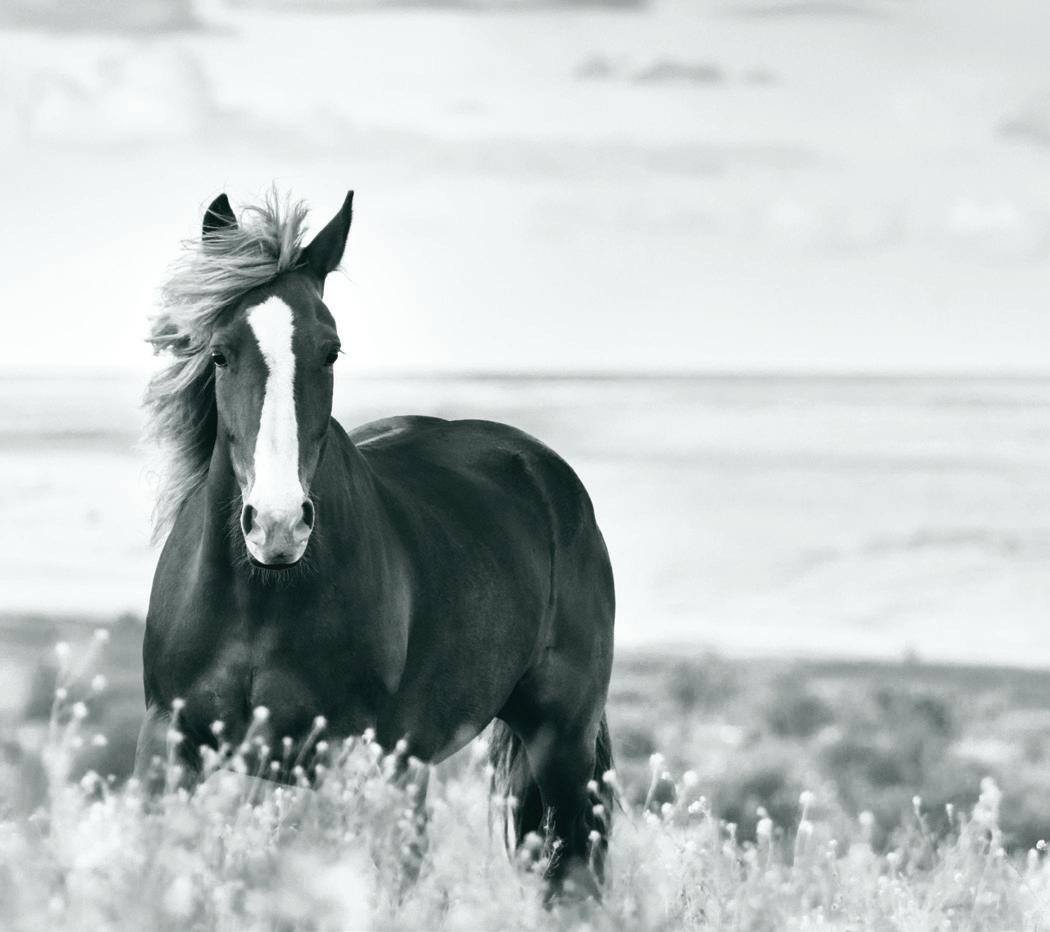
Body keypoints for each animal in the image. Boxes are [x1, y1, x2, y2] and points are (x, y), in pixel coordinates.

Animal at [135, 190, 616, 896]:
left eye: (330, 351)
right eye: (220, 353)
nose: (278, 525)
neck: (260, 599)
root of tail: (542, 469)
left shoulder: (360, 759)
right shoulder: (169, 748)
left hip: (559, 742)